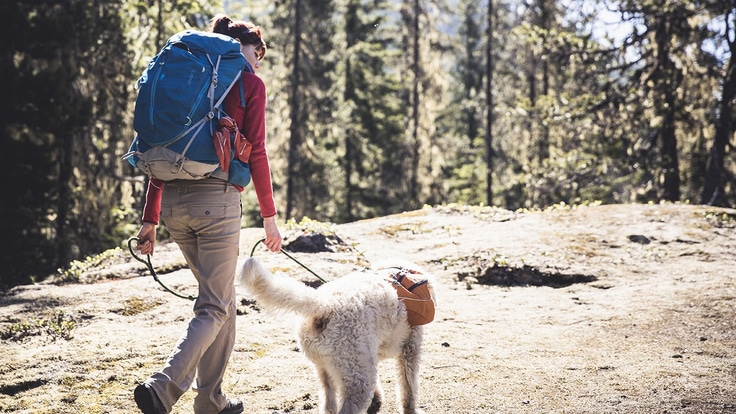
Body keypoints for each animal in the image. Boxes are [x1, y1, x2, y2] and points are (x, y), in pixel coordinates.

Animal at [239, 258, 432, 414]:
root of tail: (325, 306)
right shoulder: (409, 350)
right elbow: (408, 387)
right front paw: (410, 410)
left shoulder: (369, 356)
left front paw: (376, 402)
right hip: (357, 379)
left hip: (330, 370)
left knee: (328, 405)